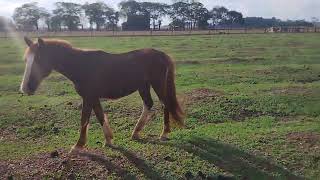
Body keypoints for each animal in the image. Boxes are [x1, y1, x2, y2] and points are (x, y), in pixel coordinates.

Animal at [20, 37, 184, 153]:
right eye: (26, 60)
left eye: (39, 59)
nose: (25, 88)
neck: (81, 66)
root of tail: (161, 54)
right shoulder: (93, 97)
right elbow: (99, 116)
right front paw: (109, 140)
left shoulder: (88, 97)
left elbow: (84, 119)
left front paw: (78, 145)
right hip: (143, 86)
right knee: (149, 104)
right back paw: (136, 132)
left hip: (157, 84)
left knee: (165, 104)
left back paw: (164, 134)